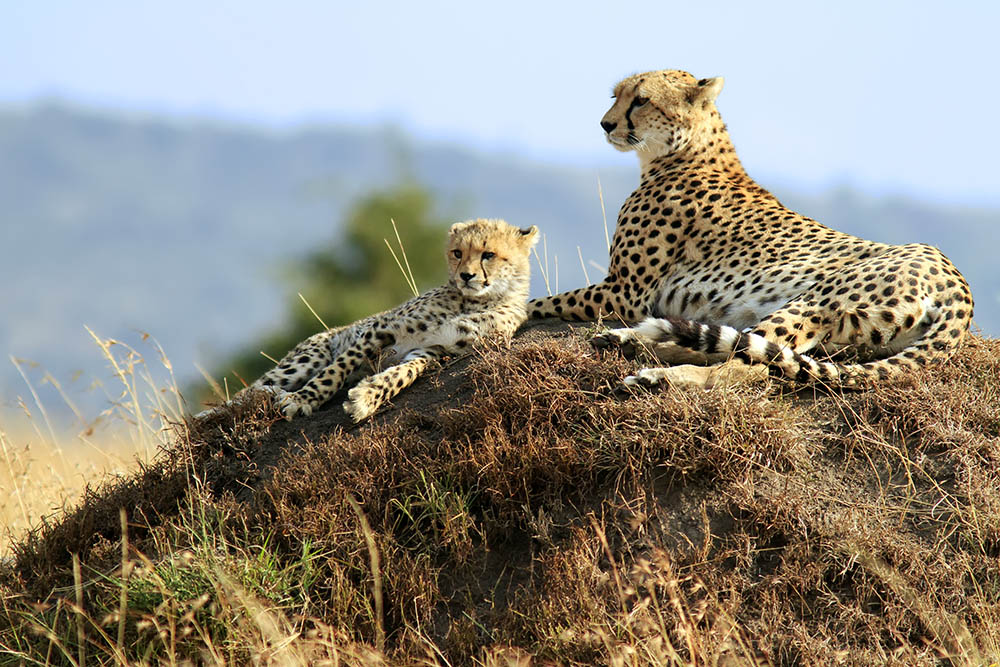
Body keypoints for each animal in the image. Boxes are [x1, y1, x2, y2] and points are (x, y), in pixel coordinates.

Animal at [536, 70, 972, 388]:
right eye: (616, 95)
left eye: (641, 99)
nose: (605, 124)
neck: (686, 151)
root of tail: (955, 280)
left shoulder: (625, 292)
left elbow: (541, 302)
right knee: (742, 348)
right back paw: (634, 341)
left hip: (813, 302)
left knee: (748, 364)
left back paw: (657, 373)